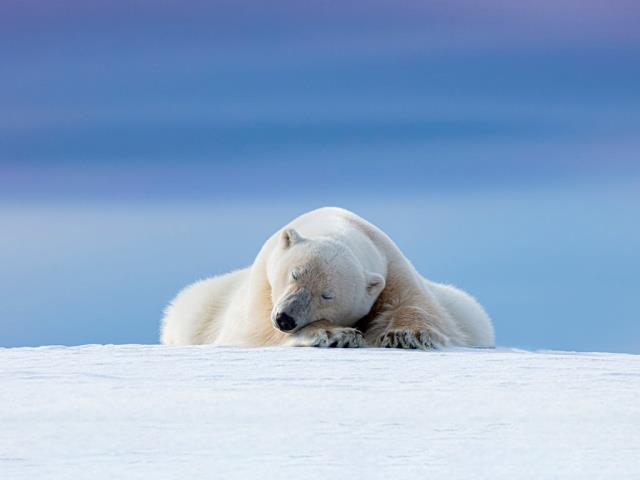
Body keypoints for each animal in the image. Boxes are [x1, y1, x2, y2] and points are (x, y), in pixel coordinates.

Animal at [160, 207, 495, 349]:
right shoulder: (262, 285)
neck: (337, 224)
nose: (285, 319)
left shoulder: (392, 266)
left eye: (327, 295)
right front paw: (335, 334)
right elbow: (255, 330)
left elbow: (420, 307)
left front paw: (404, 334)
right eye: (294, 274)